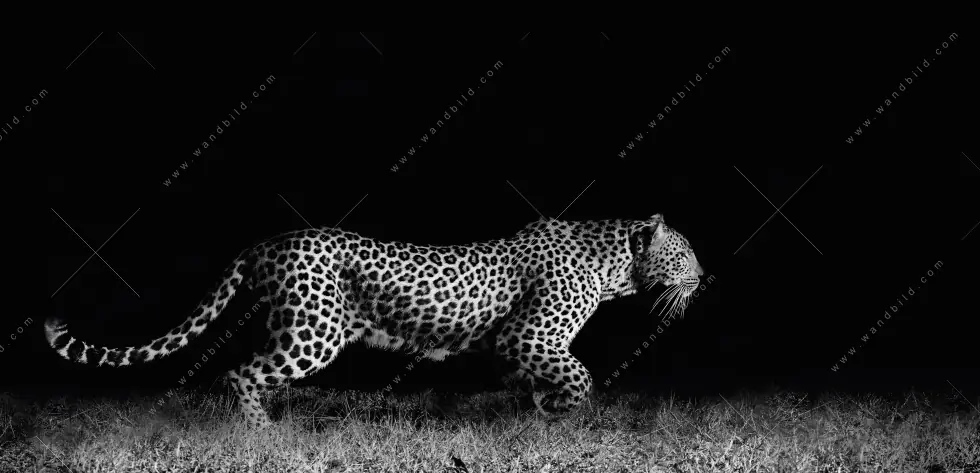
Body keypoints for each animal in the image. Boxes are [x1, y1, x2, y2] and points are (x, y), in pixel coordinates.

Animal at [45, 214, 704, 427]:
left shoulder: (510, 346)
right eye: (686, 253)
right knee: (239, 373)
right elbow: (580, 376)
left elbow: (534, 382)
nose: (708, 276)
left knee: (253, 371)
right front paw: (563, 413)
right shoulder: (528, 336)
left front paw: (539, 414)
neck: (615, 266)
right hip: (314, 331)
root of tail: (265, 242)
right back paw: (264, 433)